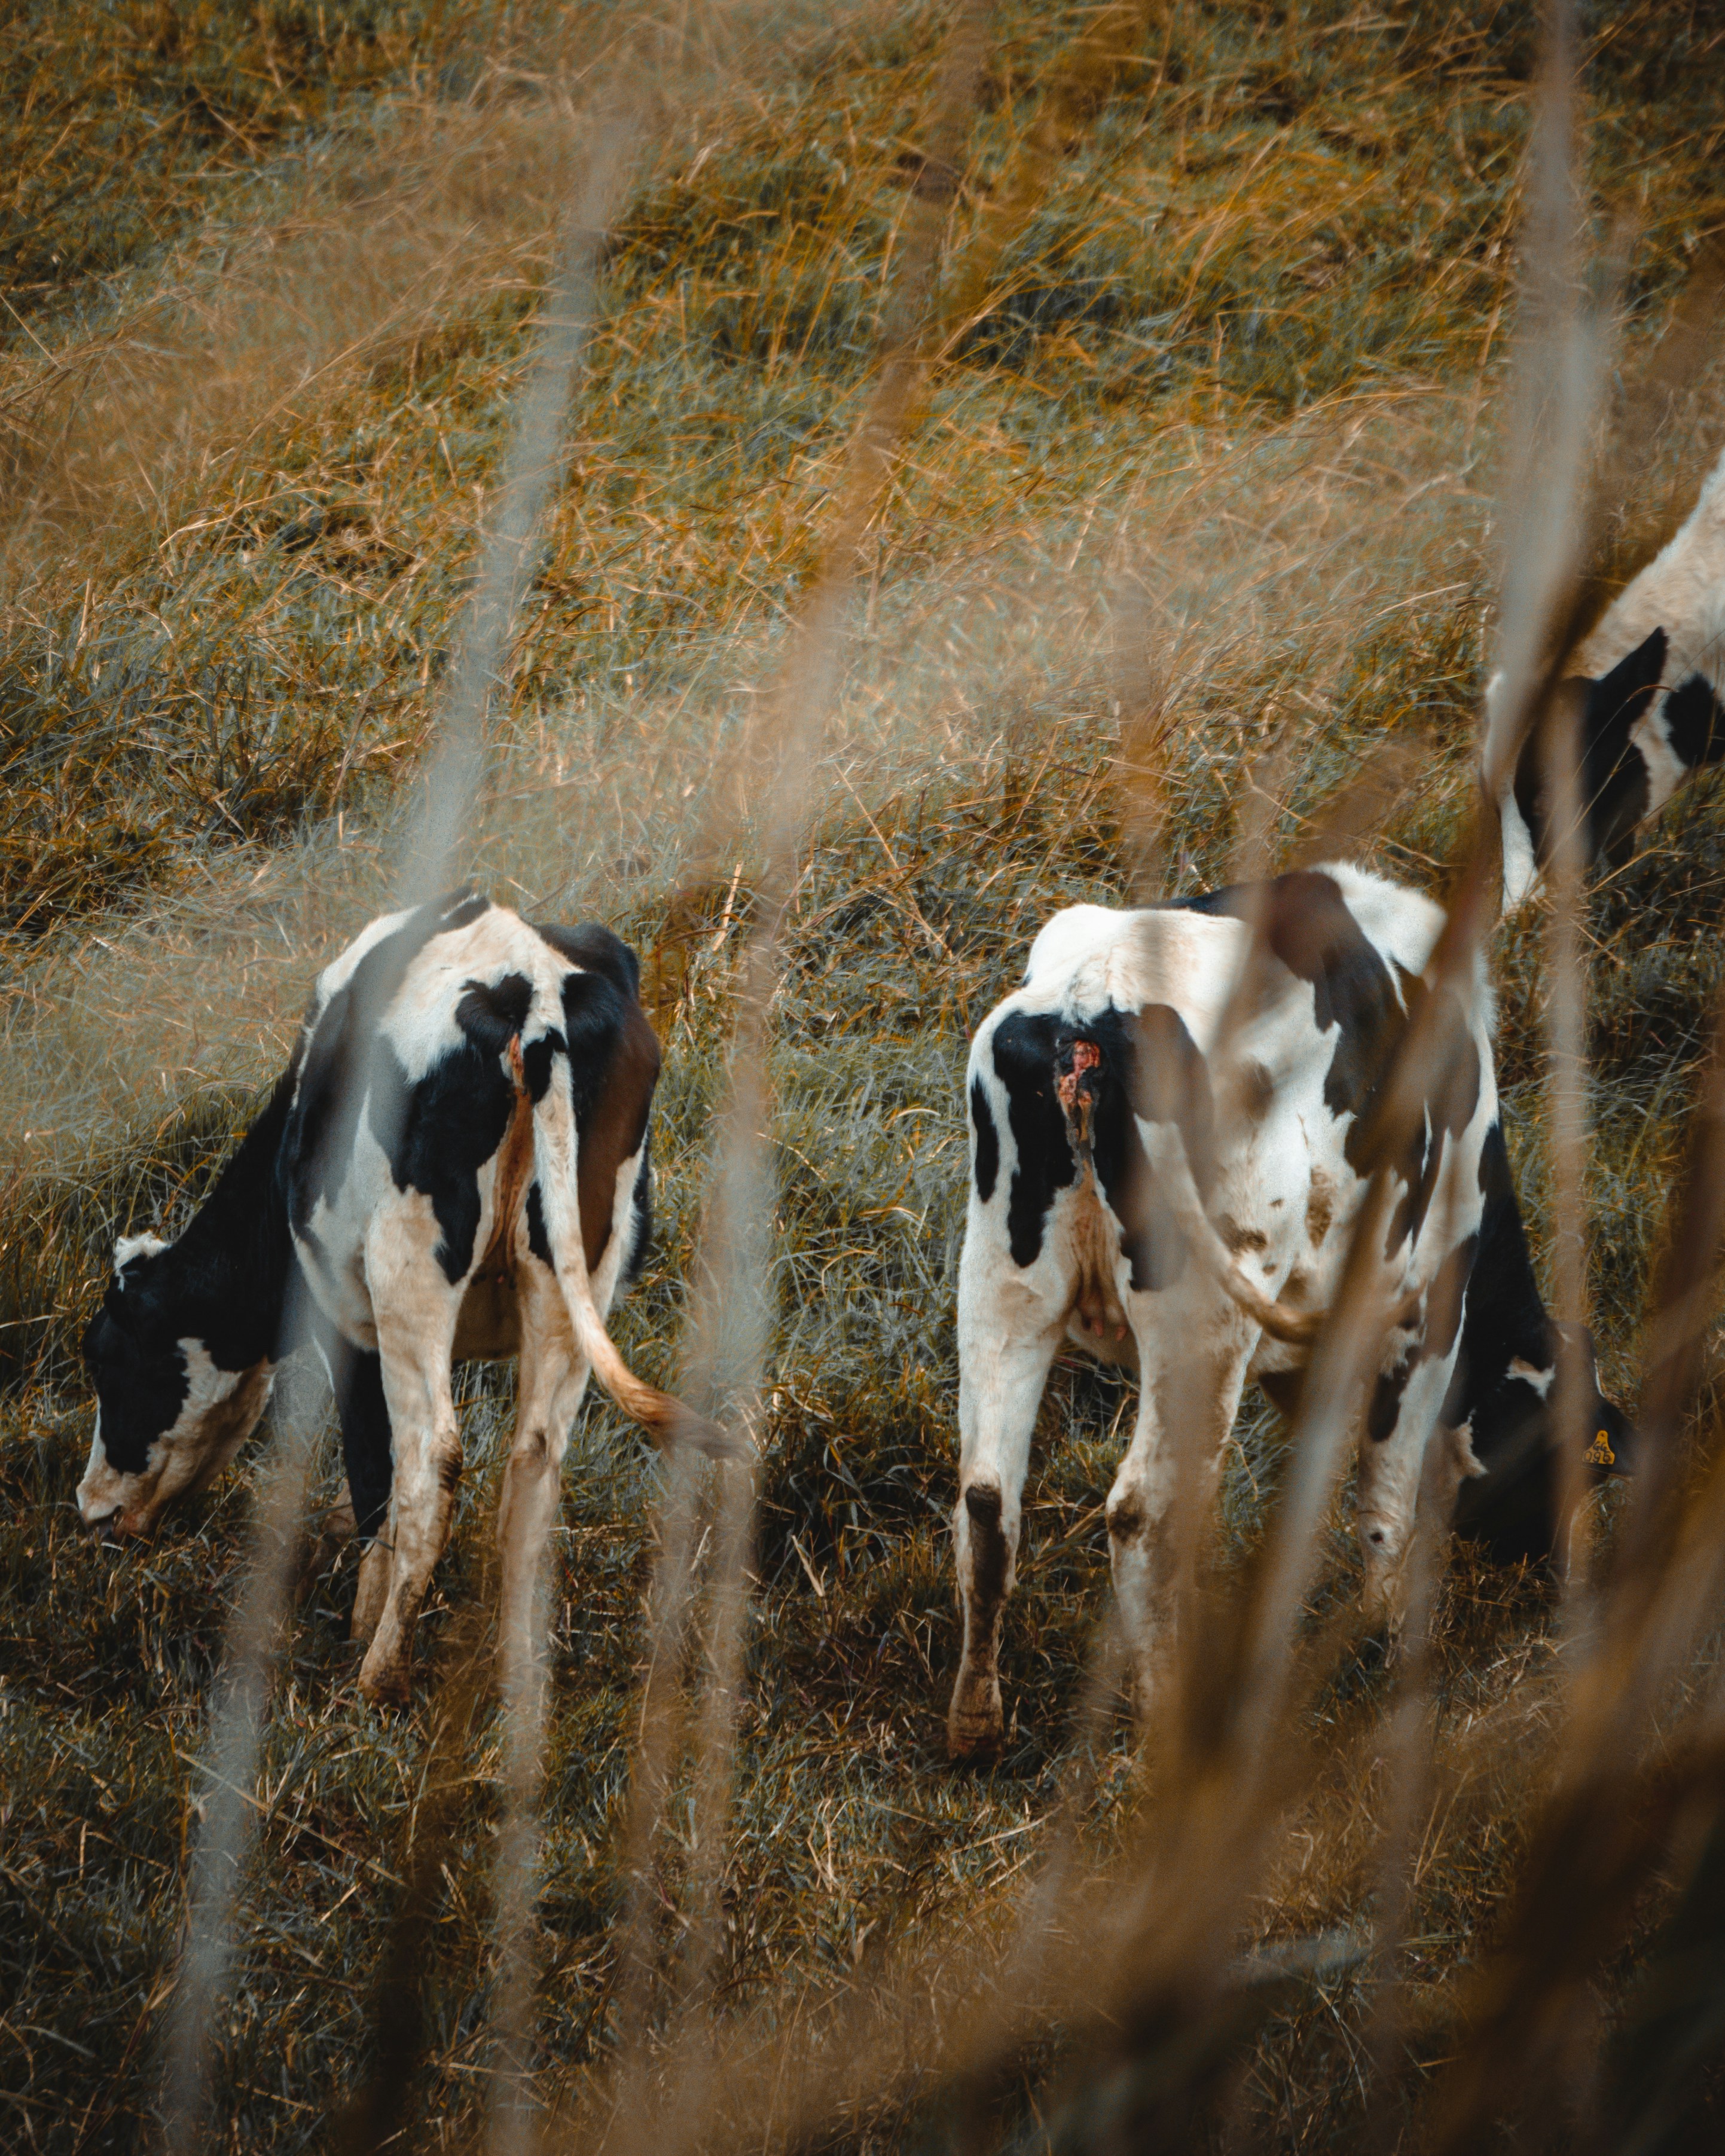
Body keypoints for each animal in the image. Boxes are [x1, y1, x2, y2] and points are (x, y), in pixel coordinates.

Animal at [78, 887, 737, 1704]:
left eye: (108, 1363)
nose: (93, 1510)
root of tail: (530, 995)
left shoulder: (348, 1317)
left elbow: (374, 1472)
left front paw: (360, 1627)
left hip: (408, 1275)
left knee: (432, 1464)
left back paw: (376, 1679)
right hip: (575, 1268)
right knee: (533, 1471)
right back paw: (520, 1686)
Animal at [947, 864, 1633, 1756]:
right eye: (1560, 1452)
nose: (1559, 1567)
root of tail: (1090, 1003)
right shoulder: (1426, 1313)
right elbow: (1383, 1498)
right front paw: (1386, 1645)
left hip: (1002, 1277)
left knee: (987, 1498)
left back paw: (974, 1725)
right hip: (1201, 1320)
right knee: (1144, 1514)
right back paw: (1165, 1721)